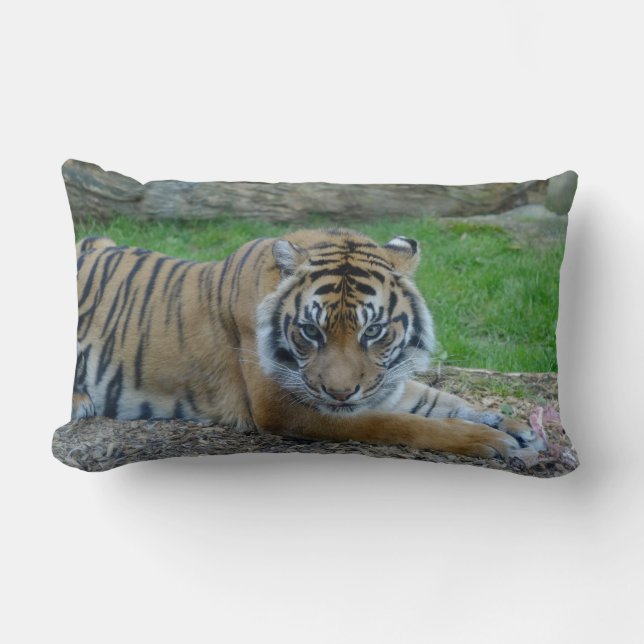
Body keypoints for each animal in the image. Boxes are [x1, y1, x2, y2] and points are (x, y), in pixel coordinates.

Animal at [73, 228, 546, 460]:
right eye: (310, 331)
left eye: (373, 331)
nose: (339, 393)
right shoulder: (283, 408)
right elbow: (401, 423)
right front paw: (489, 441)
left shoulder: (383, 381)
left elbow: (439, 400)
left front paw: (515, 426)